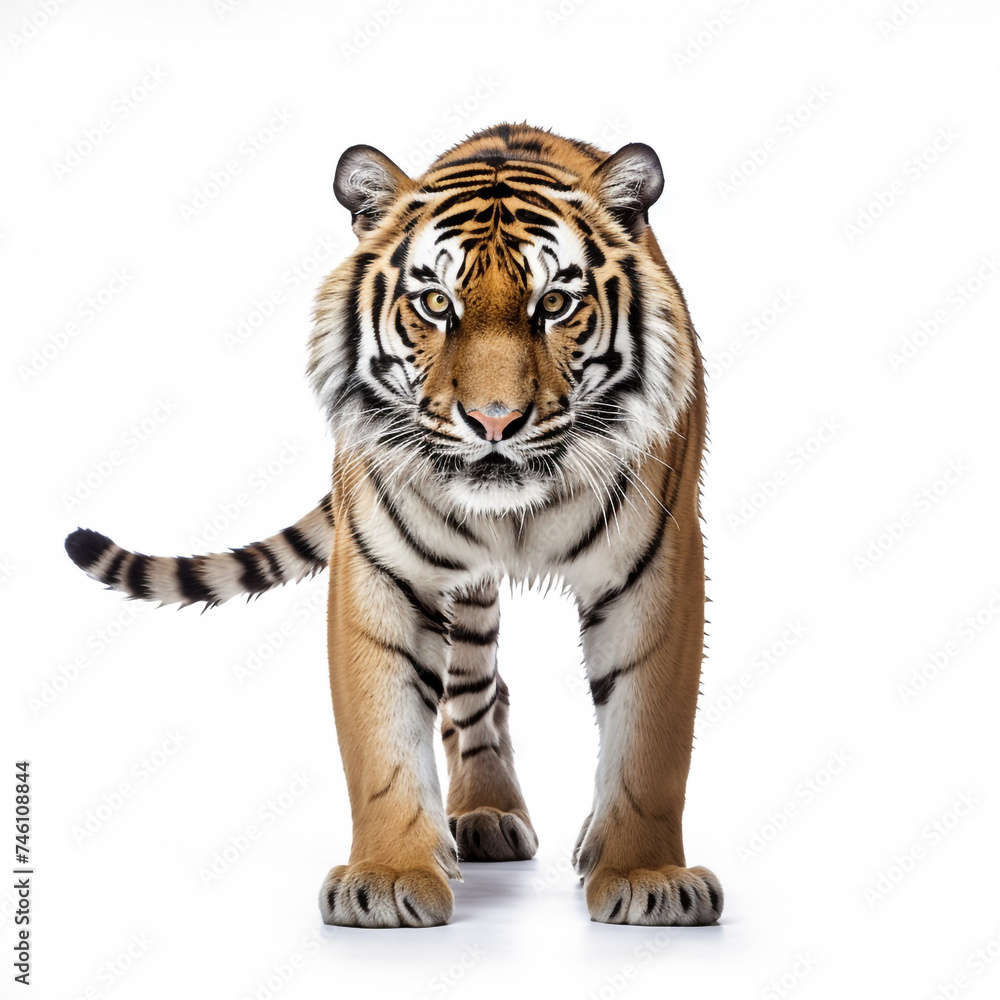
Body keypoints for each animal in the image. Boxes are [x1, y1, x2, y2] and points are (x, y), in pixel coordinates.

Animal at [65, 123, 723, 928]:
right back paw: (485, 815)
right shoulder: (381, 568)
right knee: (474, 691)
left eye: (556, 303)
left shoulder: (655, 568)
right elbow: (382, 738)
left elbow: (649, 741)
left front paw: (646, 876)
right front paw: (387, 877)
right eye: (437, 303)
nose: (494, 420)